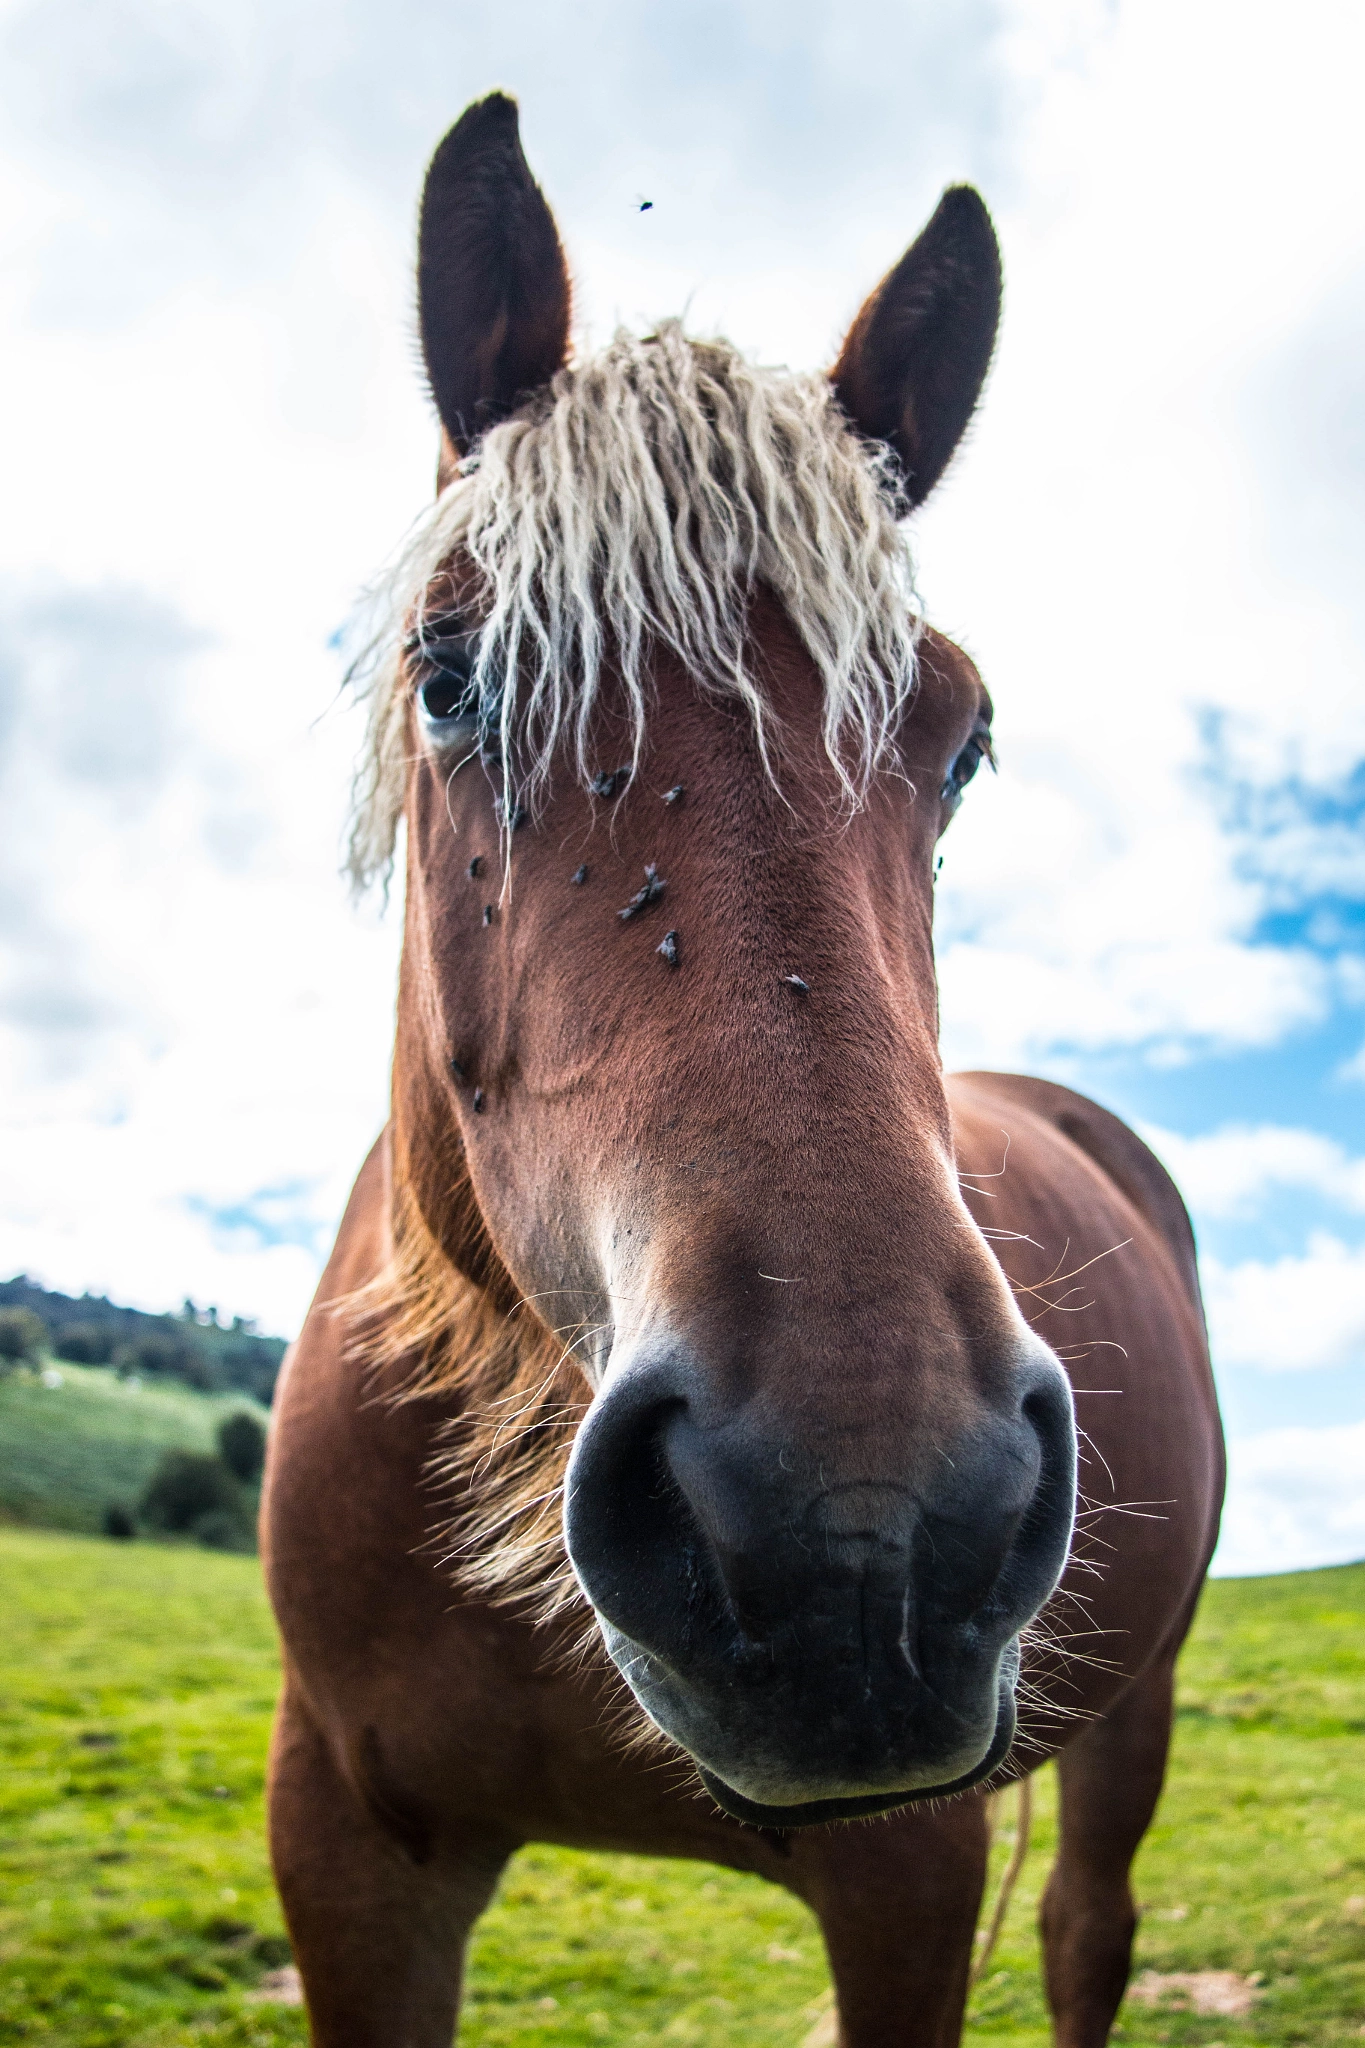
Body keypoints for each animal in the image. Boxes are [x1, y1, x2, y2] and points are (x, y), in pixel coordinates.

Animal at [261, 96, 1219, 2048]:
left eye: (963, 738)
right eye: (450, 676)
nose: (863, 1531)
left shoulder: (910, 1875)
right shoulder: (347, 1851)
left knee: (1089, 1929)